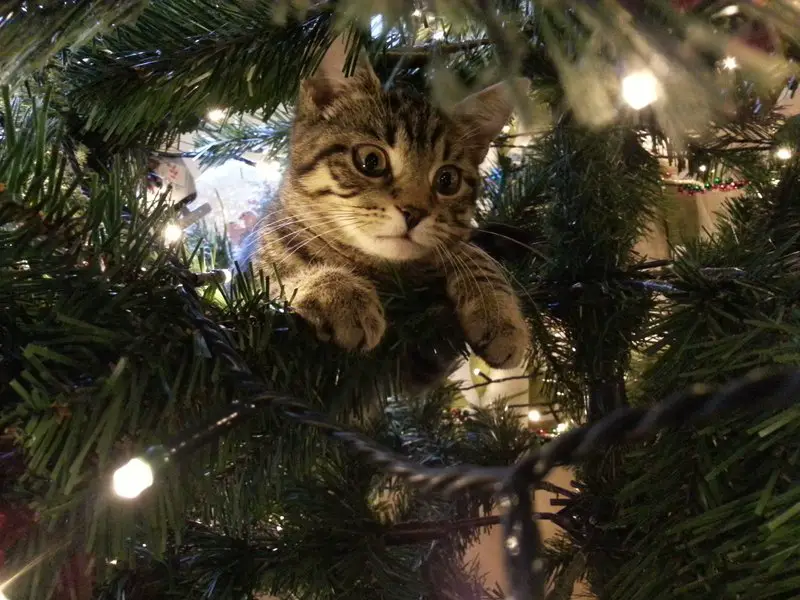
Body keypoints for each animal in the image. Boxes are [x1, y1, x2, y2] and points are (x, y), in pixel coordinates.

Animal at [247, 36, 528, 370]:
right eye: (371, 161)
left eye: (448, 180)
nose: (414, 212)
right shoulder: (256, 274)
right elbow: (282, 275)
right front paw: (338, 291)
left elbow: (473, 253)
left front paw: (500, 315)